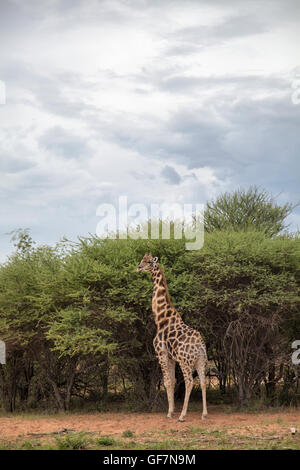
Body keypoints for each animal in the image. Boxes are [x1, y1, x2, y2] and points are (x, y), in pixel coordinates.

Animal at [137, 253, 207, 422]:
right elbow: (173, 381)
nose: (139, 268)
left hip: (185, 361)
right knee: (203, 382)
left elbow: (167, 381)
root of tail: (200, 346)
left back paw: (182, 415)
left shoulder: (161, 353)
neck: (161, 319)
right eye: (142, 260)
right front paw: (172, 409)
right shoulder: (171, 357)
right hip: (200, 361)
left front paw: (170, 412)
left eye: (149, 262)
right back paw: (204, 414)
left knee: (189, 382)